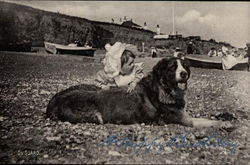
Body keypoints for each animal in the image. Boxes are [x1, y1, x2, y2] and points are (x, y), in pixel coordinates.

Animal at [47, 57, 223, 127]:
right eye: (173, 68)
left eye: (185, 66)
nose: (184, 74)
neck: (162, 88)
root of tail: (53, 102)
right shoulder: (184, 119)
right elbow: (206, 122)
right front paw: (226, 124)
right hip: (95, 116)